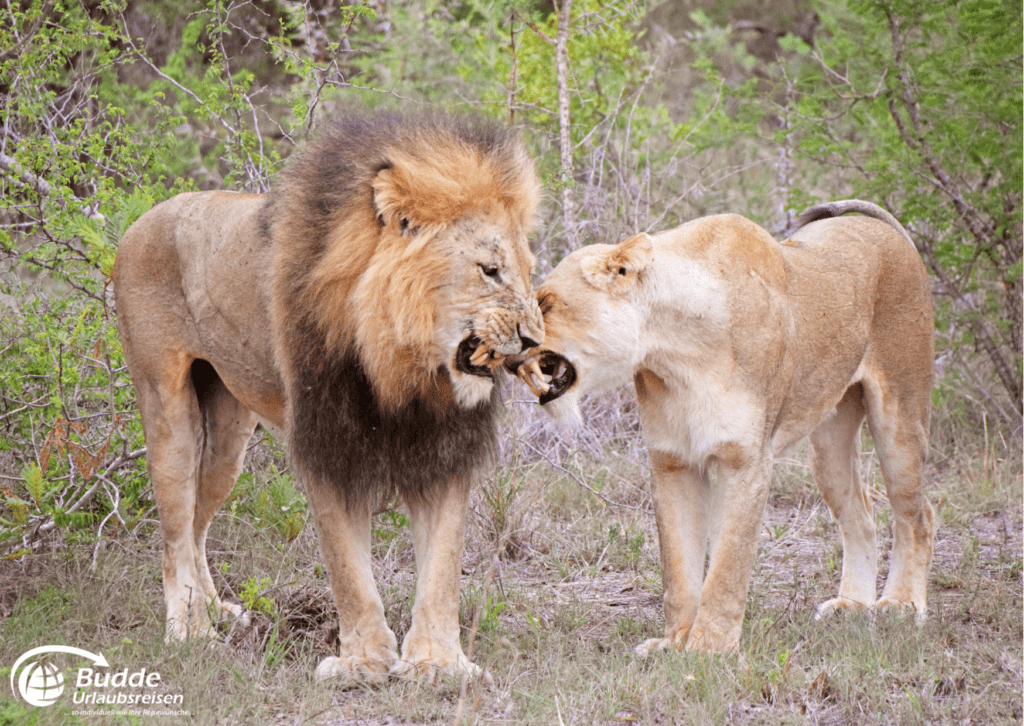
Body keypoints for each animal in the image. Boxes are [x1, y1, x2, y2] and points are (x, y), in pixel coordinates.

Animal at [113, 113, 548, 679]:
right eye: (489, 270)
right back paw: (191, 631)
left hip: (228, 434)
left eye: (527, 268)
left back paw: (215, 611)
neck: (401, 366)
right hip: (167, 408)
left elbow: (443, 567)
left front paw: (438, 664)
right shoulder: (328, 445)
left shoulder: (443, 448)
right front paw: (363, 662)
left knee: (195, 525)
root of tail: (141, 220)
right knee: (172, 533)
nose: (536, 340)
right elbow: (347, 567)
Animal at [520, 200, 937, 655]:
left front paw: (709, 649)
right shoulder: (672, 462)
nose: (507, 346)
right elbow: (679, 570)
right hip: (829, 444)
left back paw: (900, 605)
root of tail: (887, 229)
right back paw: (852, 606)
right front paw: (674, 643)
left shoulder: (746, 461)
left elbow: (726, 566)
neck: (673, 352)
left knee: (917, 516)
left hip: (900, 416)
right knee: (861, 515)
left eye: (545, 303)